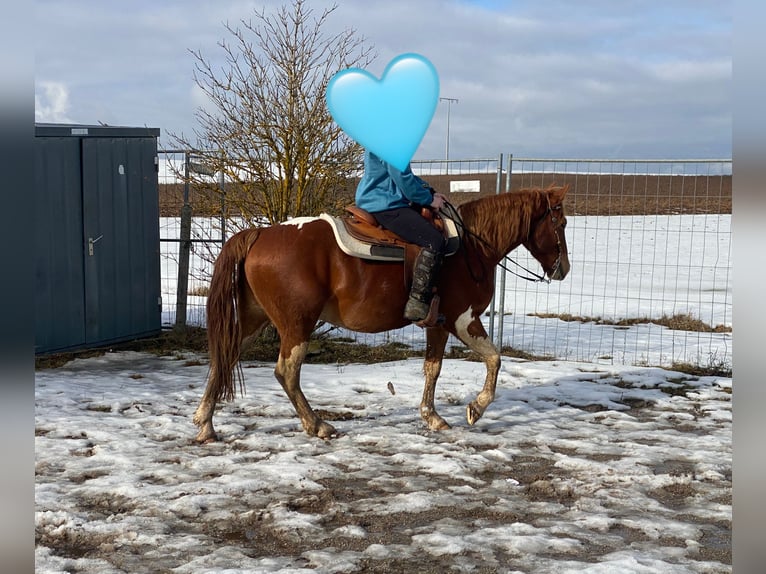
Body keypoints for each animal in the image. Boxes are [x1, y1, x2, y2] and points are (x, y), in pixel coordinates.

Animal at [193, 184, 570, 441]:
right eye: (562, 222)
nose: (563, 269)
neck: (471, 247)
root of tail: (257, 234)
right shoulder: (463, 319)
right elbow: (494, 358)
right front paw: (475, 408)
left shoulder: (438, 324)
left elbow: (433, 369)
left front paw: (431, 416)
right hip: (297, 324)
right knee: (286, 372)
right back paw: (317, 424)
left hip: (255, 319)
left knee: (225, 356)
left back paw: (205, 423)